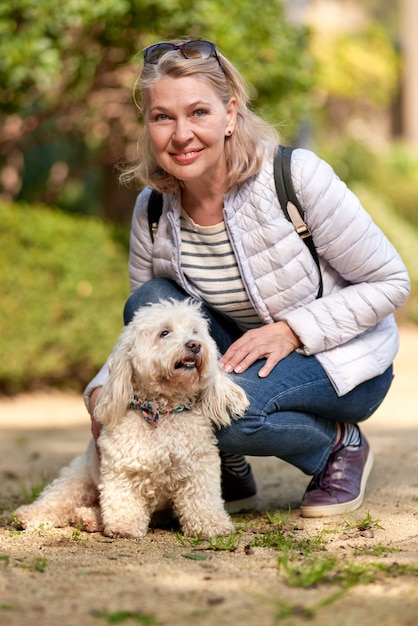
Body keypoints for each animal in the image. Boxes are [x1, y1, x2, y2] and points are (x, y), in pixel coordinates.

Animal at [15, 298, 248, 536]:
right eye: (164, 333)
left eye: (195, 331)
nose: (194, 344)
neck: (162, 411)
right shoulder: (121, 466)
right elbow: (122, 498)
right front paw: (123, 525)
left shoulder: (199, 466)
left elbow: (202, 499)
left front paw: (212, 525)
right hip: (77, 479)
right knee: (57, 500)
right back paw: (32, 516)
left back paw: (88, 517)